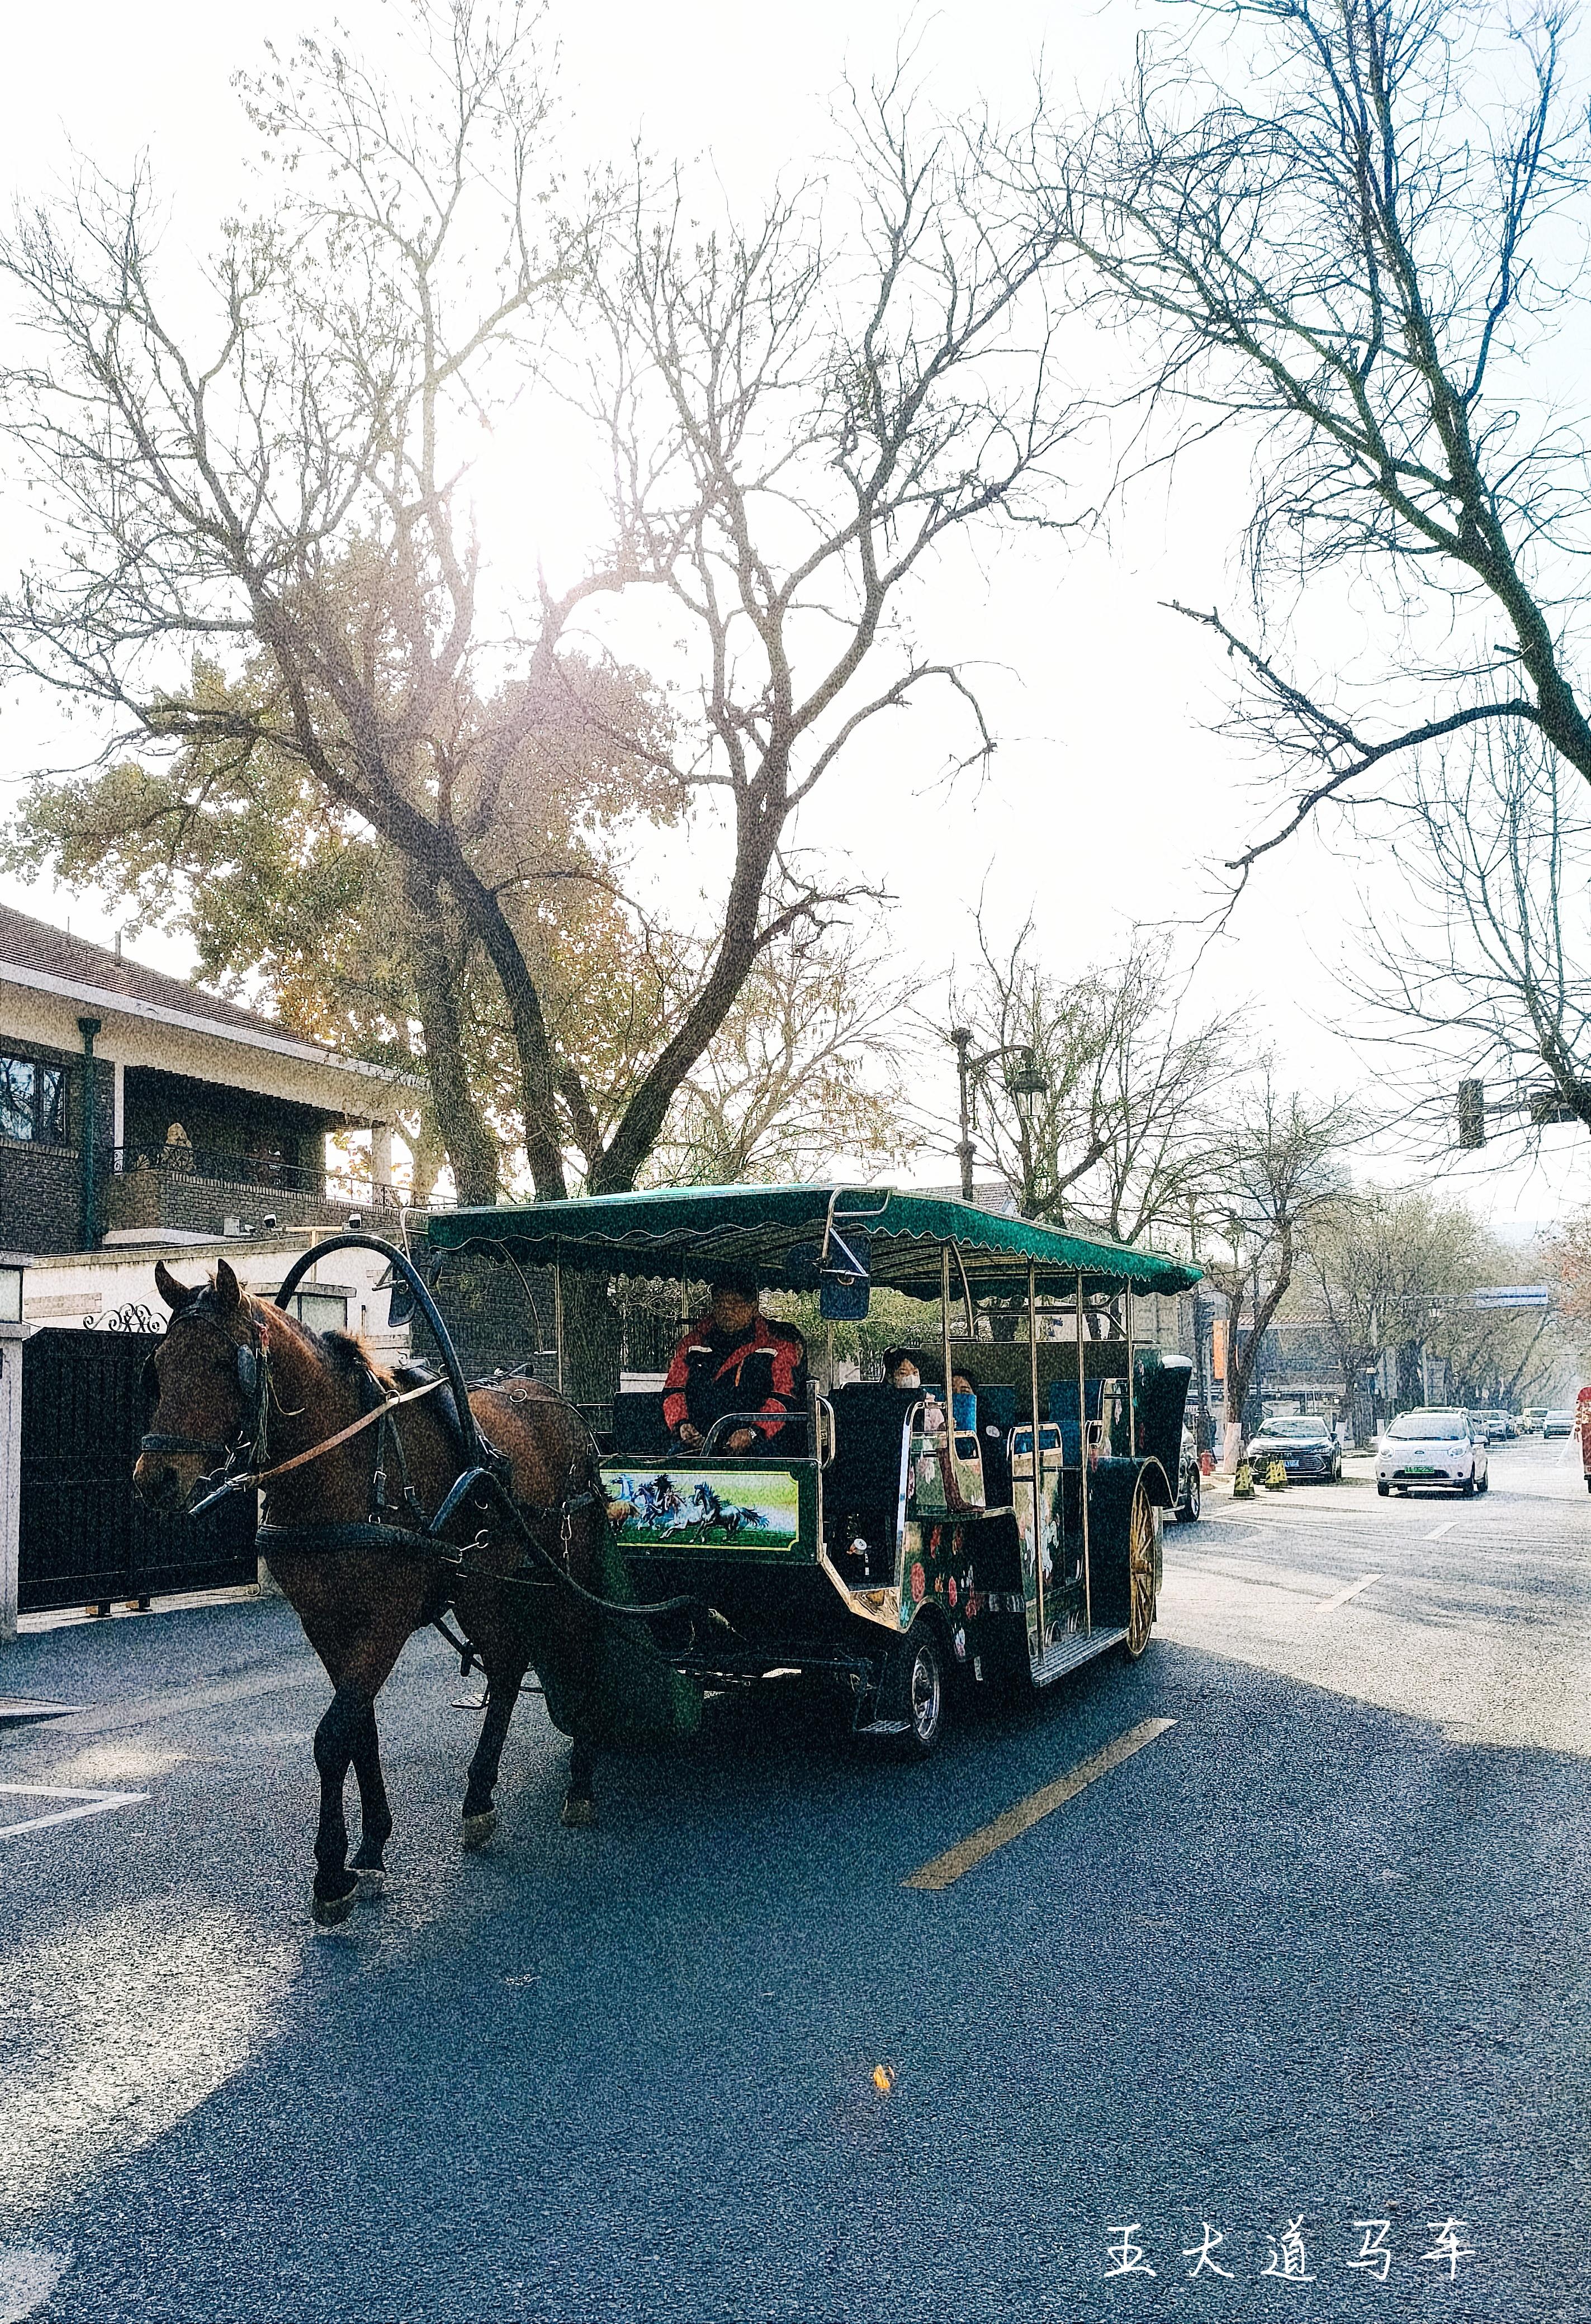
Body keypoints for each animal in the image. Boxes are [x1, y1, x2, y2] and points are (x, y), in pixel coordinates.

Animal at [132, 1264, 609, 1915]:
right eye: (157, 1365)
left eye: (223, 1364)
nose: (155, 1481)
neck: (346, 1468)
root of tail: (562, 1404)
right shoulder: (324, 1622)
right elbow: (360, 1728)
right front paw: (371, 1847)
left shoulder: (386, 1617)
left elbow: (334, 1736)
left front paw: (331, 1875)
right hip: (483, 1585)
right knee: (509, 1666)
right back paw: (479, 1797)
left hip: (565, 1572)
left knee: (581, 1652)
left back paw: (581, 1782)